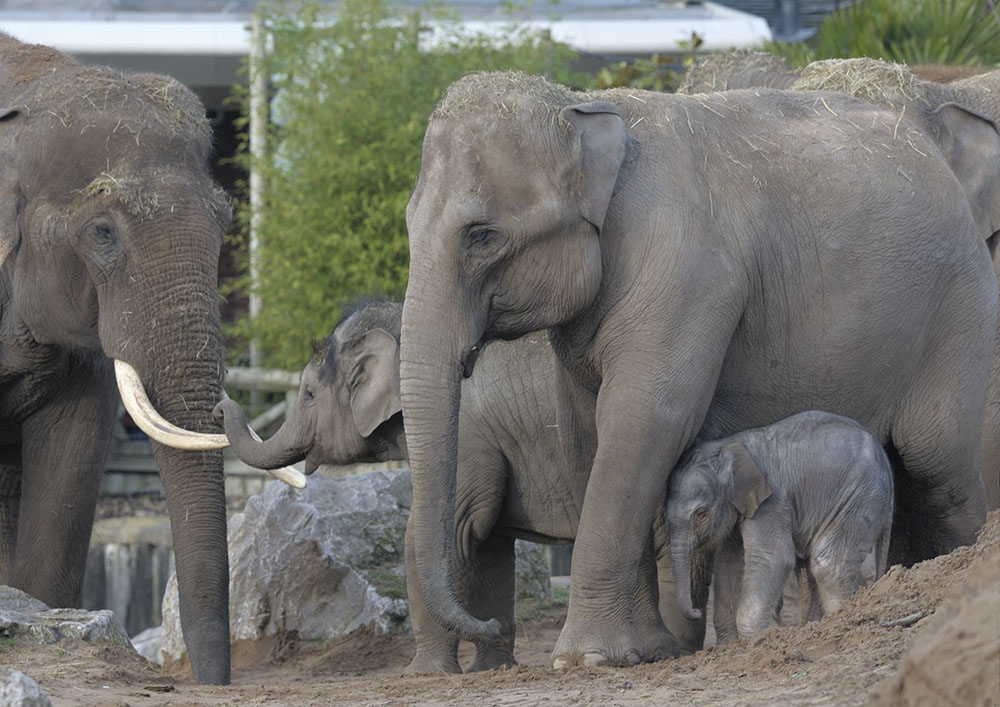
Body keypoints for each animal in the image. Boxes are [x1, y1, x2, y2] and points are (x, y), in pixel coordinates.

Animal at [213, 299, 705, 673]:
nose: (219, 408)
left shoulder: (465, 439)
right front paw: (493, 668)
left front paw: (425, 675)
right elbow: (488, 547)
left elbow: (441, 534)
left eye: (309, 395)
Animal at [664, 410, 893, 644]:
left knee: (829, 564)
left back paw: (838, 623)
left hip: (861, 497)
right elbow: (729, 563)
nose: (697, 612)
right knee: (808, 565)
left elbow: (774, 558)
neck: (730, 446)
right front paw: (728, 645)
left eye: (700, 514)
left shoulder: (771, 502)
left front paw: (753, 641)